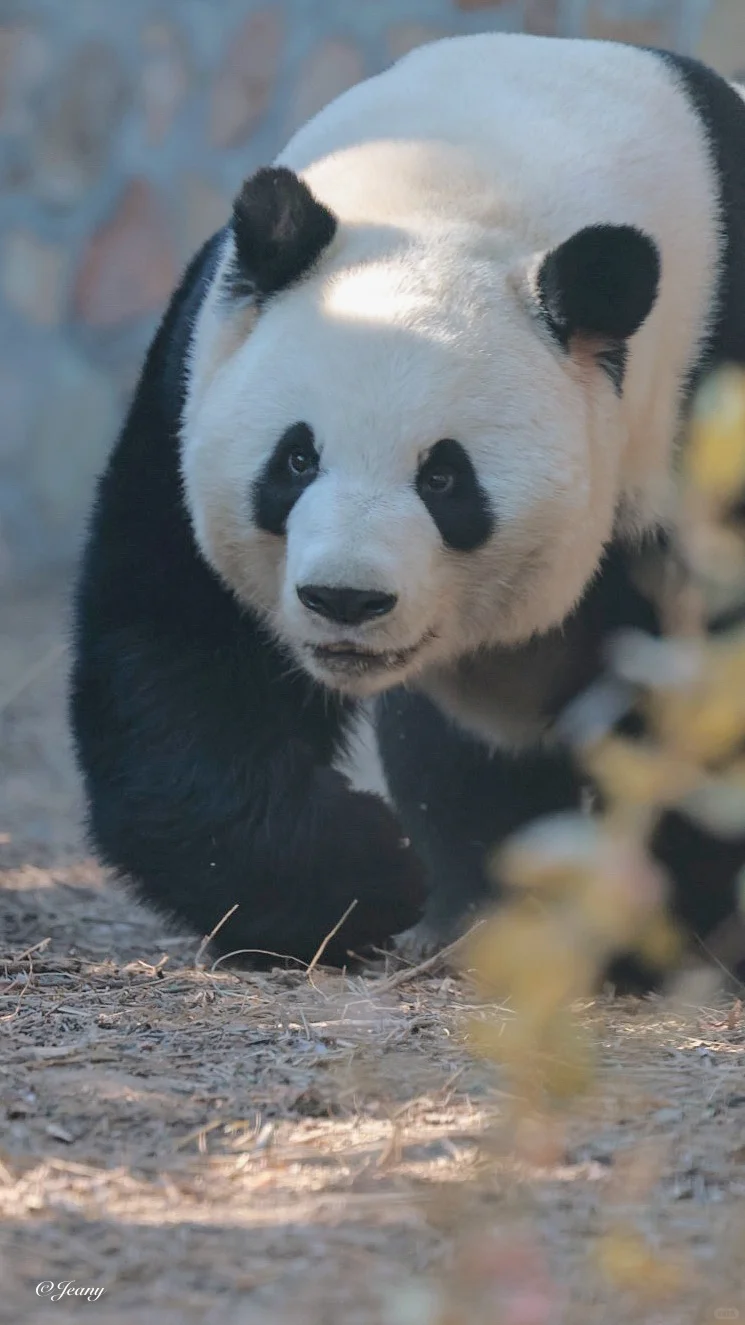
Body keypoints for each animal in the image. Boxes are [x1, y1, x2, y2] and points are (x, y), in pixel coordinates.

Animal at [70, 33, 745, 985]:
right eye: (296, 458)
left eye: (444, 479)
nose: (345, 600)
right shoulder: (198, 370)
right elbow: (177, 651)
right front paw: (360, 879)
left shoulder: (704, 389)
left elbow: (692, 696)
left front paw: (636, 934)